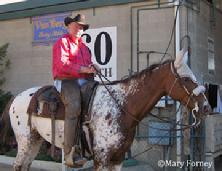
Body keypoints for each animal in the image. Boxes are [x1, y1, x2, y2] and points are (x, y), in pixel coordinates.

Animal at [0, 49, 210, 171]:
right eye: (186, 79)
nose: (206, 107)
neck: (121, 105)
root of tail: (16, 97)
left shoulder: (117, 158)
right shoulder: (101, 158)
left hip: (35, 140)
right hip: (25, 141)